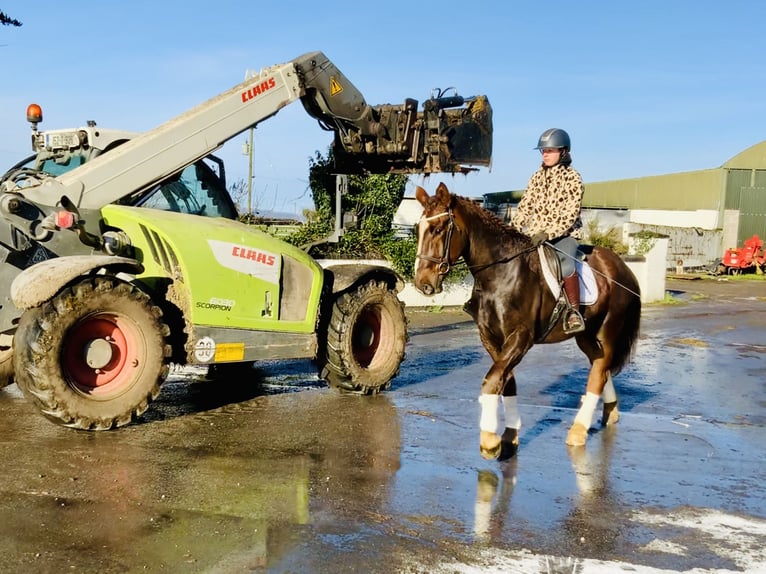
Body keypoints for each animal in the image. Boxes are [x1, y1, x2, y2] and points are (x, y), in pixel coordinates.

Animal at [414, 182, 640, 462]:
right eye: (418, 229)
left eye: (437, 229)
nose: (422, 283)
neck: (501, 274)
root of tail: (622, 267)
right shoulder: (492, 339)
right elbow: (506, 382)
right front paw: (509, 436)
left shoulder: (520, 338)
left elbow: (492, 381)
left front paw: (489, 442)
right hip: (587, 336)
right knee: (601, 366)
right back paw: (610, 412)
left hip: (607, 331)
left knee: (599, 372)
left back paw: (578, 431)